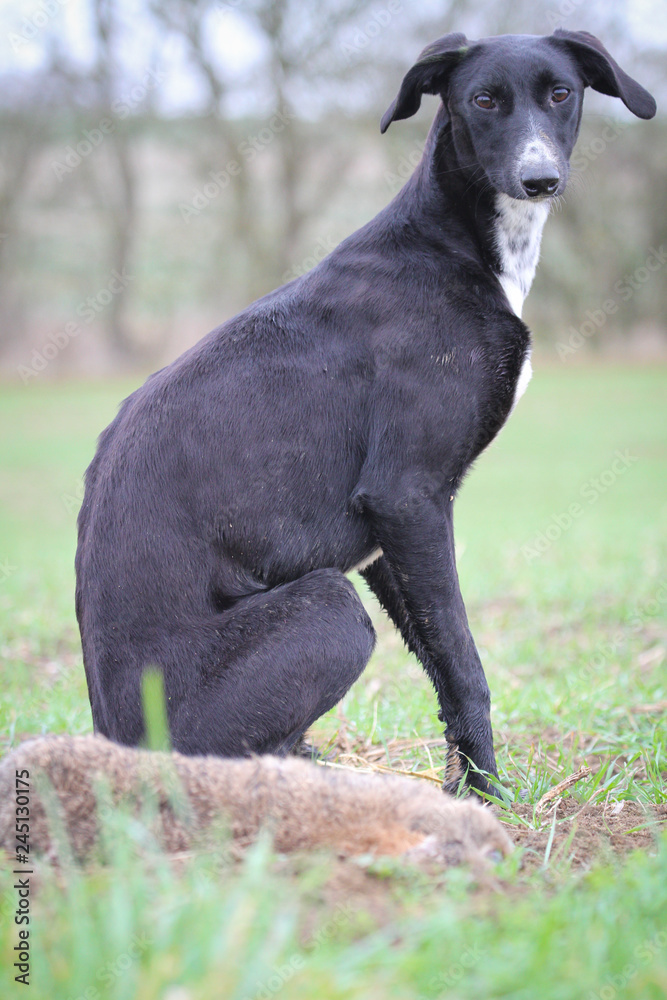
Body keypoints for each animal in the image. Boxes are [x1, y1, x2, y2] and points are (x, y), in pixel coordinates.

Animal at [75, 31, 656, 792]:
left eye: (560, 92)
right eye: (483, 100)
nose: (539, 180)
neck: (449, 242)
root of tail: (114, 744)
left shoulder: (388, 538)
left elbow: (440, 664)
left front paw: (462, 784)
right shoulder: (409, 497)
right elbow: (464, 662)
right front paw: (486, 795)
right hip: (327, 607)